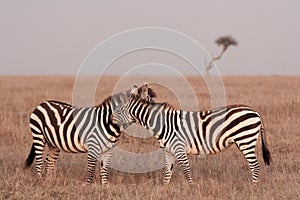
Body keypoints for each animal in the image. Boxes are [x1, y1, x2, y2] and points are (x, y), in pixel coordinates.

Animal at [24, 83, 157, 184]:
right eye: (150, 104)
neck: (107, 121)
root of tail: (42, 103)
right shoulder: (93, 146)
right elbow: (91, 169)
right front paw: (88, 186)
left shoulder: (108, 150)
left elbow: (104, 169)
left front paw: (104, 187)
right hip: (38, 136)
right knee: (39, 161)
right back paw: (40, 182)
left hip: (54, 143)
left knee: (49, 162)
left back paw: (49, 182)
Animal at [111, 86, 270, 184]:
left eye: (118, 109)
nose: (110, 120)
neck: (162, 123)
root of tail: (255, 112)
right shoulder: (168, 151)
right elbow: (167, 172)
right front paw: (165, 188)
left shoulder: (179, 148)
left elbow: (186, 170)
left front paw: (191, 188)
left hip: (245, 139)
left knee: (255, 165)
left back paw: (253, 187)